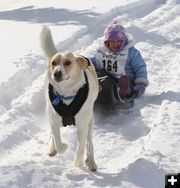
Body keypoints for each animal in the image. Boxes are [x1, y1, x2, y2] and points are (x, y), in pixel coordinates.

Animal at [40, 26, 98, 172]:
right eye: (53, 63)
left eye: (67, 63)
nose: (56, 73)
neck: (66, 93)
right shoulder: (54, 121)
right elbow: (58, 142)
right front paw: (62, 146)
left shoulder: (82, 125)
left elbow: (81, 147)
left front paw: (78, 162)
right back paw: (52, 148)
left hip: (90, 121)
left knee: (89, 142)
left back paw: (91, 161)